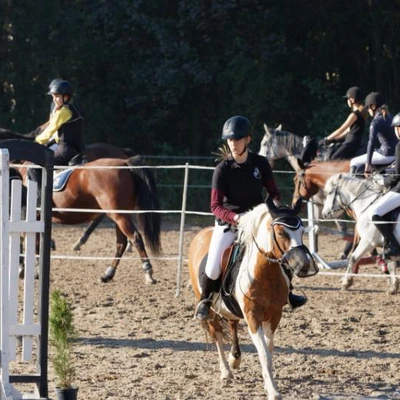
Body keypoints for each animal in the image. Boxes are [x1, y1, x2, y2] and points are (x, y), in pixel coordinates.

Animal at [17, 155, 161, 282]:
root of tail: (124, 163)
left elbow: (28, 241)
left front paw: (27, 269)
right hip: (121, 215)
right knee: (121, 243)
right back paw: (108, 274)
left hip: (118, 215)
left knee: (135, 238)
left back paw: (148, 272)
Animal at [188, 198, 316, 400]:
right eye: (281, 232)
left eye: (302, 232)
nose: (304, 266)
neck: (265, 273)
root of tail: (201, 234)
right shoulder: (252, 315)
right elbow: (264, 353)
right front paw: (273, 391)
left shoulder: (275, 315)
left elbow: (269, 350)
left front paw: (268, 383)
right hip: (210, 311)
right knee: (217, 335)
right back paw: (226, 371)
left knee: (232, 324)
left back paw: (235, 359)